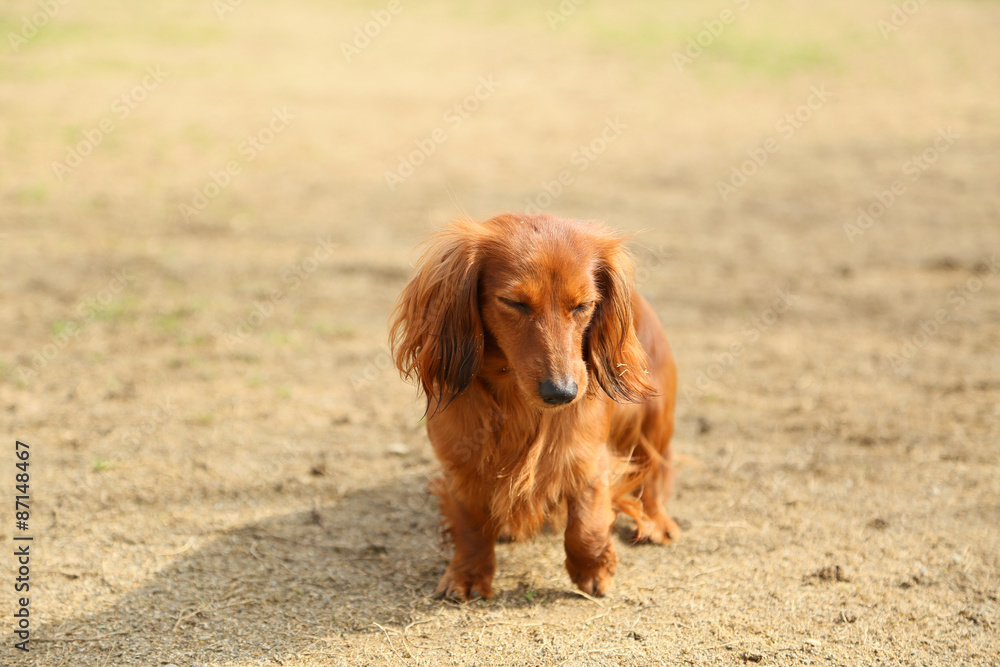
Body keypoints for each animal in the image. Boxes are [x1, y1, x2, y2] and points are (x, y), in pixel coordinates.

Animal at [390, 213, 678, 600]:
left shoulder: (586, 455)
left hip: (653, 419)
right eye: (514, 302)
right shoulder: (461, 461)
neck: (517, 399)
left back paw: (656, 521)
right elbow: (469, 523)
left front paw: (593, 568)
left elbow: (586, 522)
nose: (562, 393)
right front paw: (468, 574)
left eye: (583, 305)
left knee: (655, 470)